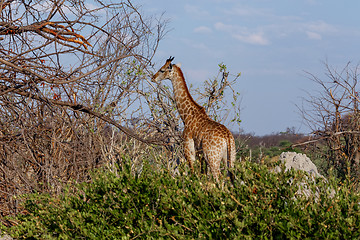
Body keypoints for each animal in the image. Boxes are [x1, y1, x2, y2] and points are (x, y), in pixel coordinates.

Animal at [151, 56, 236, 184]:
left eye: (162, 70)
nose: (153, 78)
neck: (187, 116)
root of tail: (227, 137)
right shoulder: (200, 155)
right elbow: (202, 175)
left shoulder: (189, 150)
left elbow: (193, 173)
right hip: (230, 158)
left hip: (213, 158)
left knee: (219, 179)